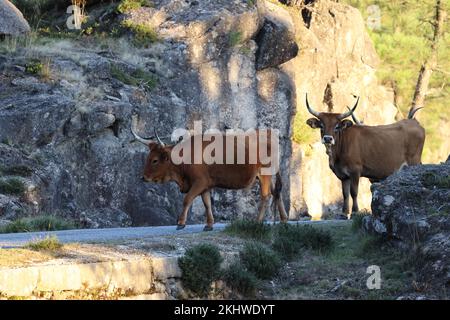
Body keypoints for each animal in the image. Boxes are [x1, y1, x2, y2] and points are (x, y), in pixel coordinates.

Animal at [132, 122, 290, 230]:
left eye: (154, 160)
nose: (143, 177)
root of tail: (269, 133)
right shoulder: (206, 185)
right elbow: (207, 203)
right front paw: (209, 224)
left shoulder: (199, 182)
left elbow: (187, 199)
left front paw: (181, 223)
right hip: (268, 176)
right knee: (277, 193)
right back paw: (283, 219)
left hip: (265, 174)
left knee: (266, 196)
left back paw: (257, 222)